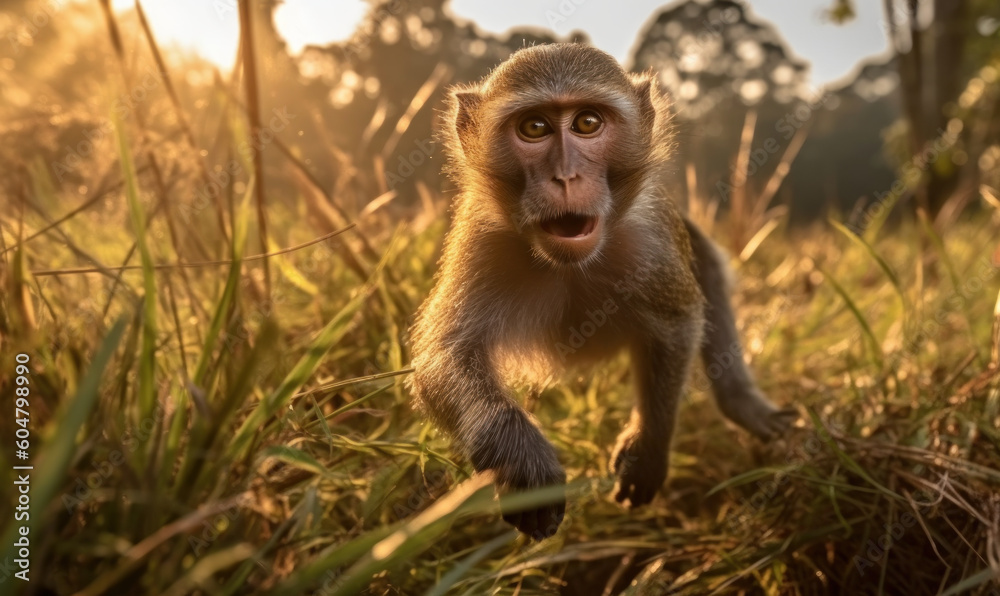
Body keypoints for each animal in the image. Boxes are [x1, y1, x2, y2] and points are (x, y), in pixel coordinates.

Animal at [407, 43, 796, 540]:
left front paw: (648, 445)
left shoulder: (650, 237)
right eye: (534, 128)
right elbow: (444, 357)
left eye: (588, 123)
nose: (566, 176)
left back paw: (741, 401)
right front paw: (521, 459)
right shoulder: (480, 241)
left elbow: (677, 322)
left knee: (708, 266)